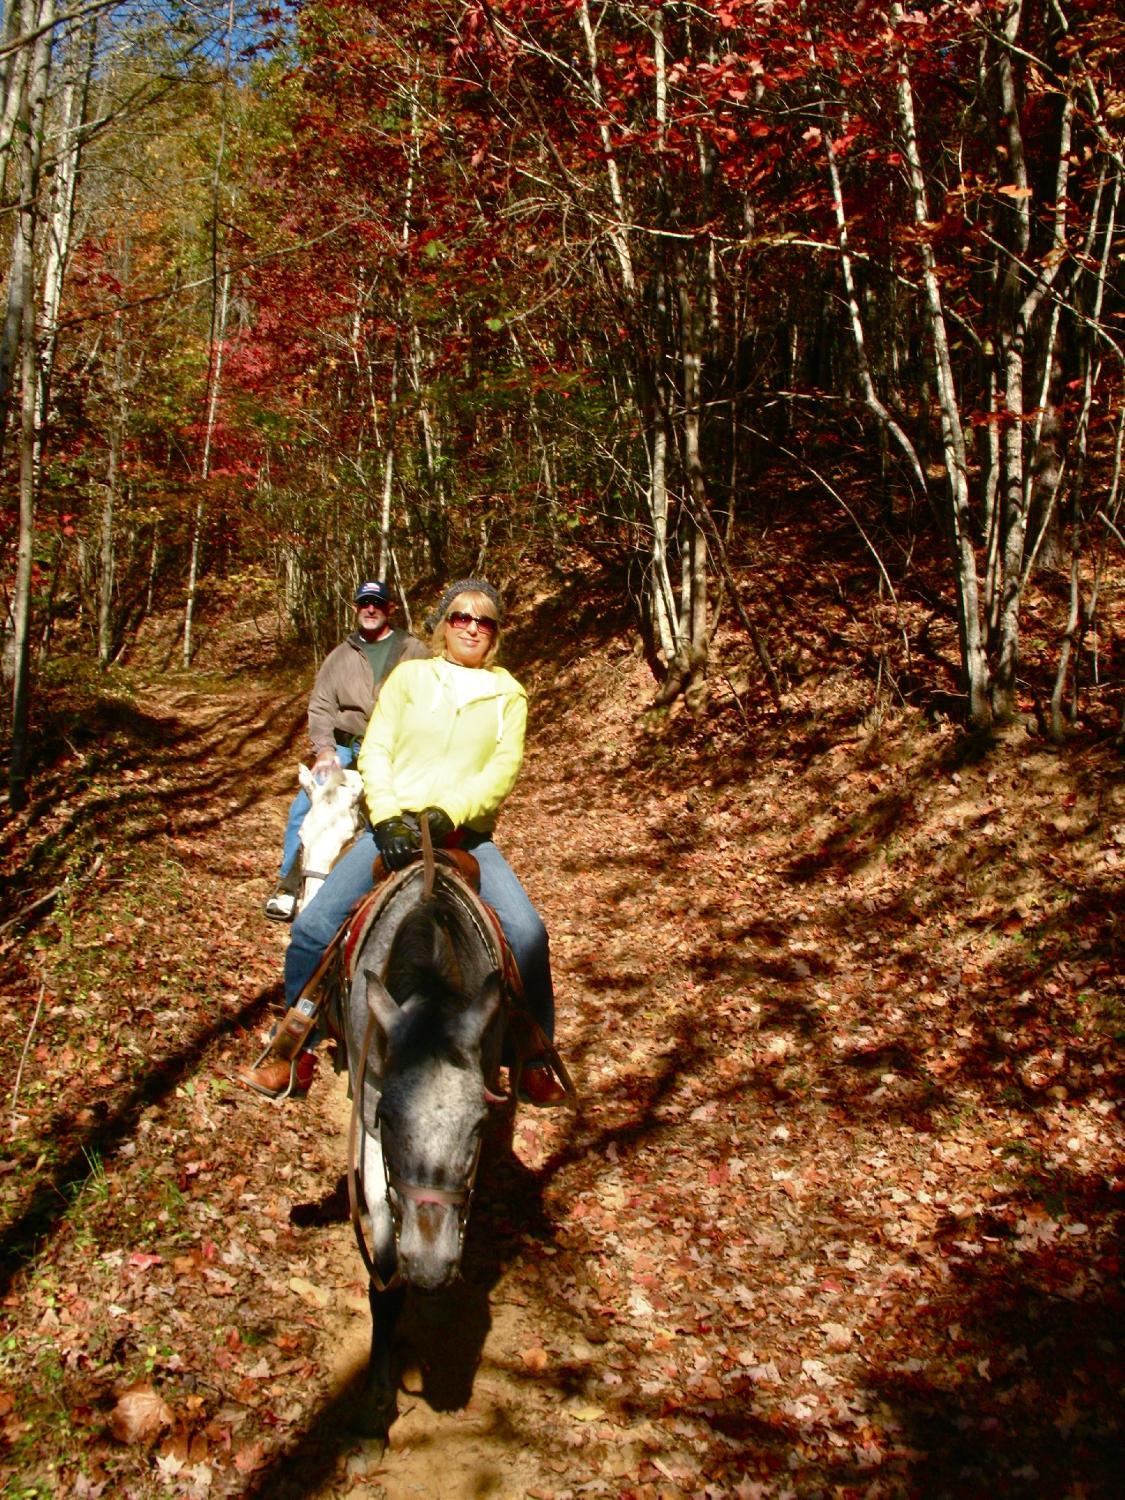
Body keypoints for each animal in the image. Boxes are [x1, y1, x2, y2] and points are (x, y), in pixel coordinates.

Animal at [333, 858, 510, 1428]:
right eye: (388, 1119)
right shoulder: (368, 1114)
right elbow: (385, 1268)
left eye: (478, 1124)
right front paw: (376, 1400)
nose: (430, 1268)